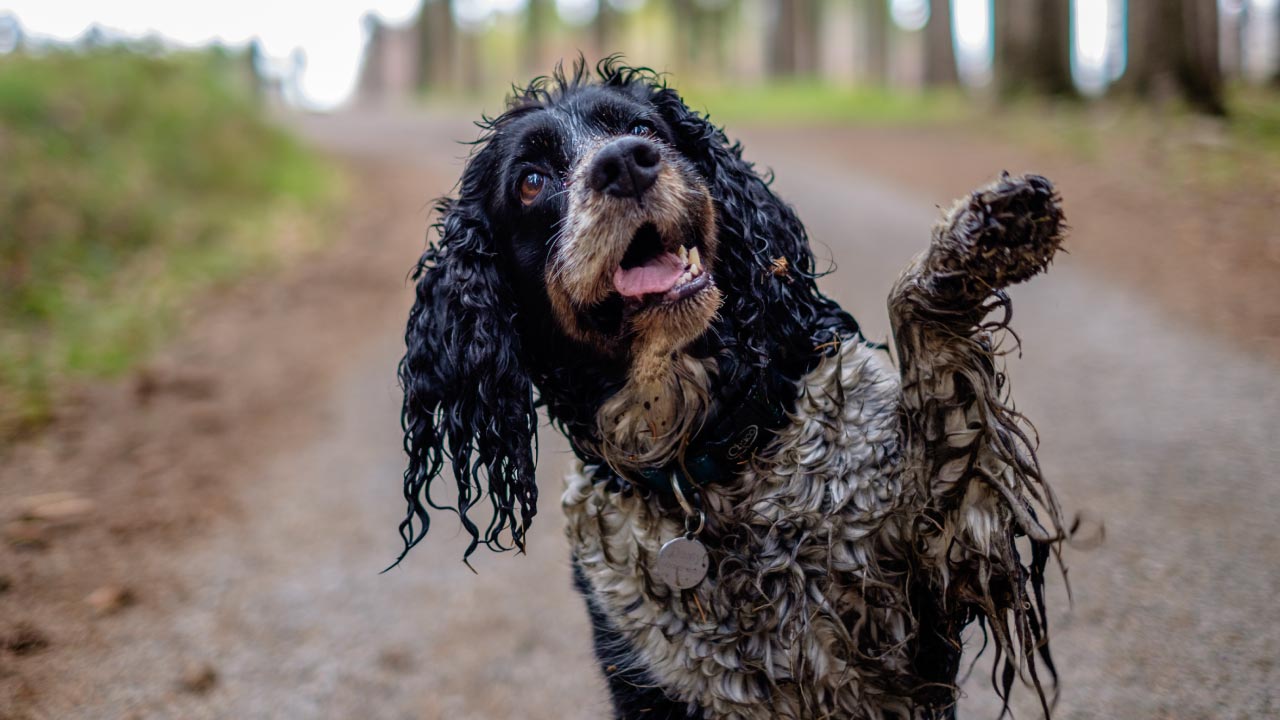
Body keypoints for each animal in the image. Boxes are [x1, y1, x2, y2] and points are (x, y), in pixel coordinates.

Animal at [396, 61, 1070, 717]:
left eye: (644, 129)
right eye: (531, 181)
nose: (626, 162)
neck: (710, 461)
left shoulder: (944, 562)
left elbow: (923, 343)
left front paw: (986, 232)